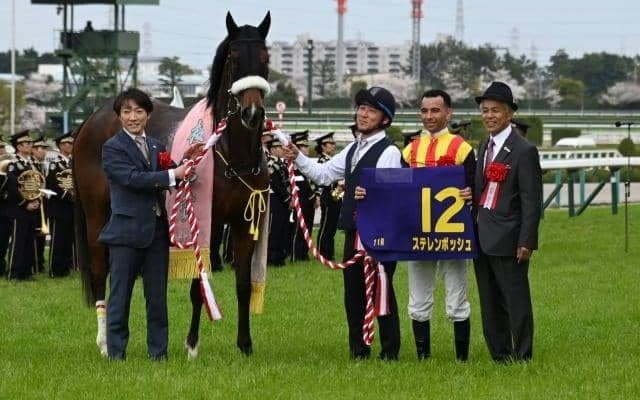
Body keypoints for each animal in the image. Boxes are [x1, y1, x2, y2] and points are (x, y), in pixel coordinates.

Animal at [73, 11, 271, 357]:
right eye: (234, 57)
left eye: (264, 57)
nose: (252, 113)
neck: (232, 155)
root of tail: (91, 118)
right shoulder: (205, 222)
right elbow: (197, 285)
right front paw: (191, 345)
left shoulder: (244, 223)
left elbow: (244, 284)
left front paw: (245, 344)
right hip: (96, 215)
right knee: (100, 270)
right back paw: (105, 343)